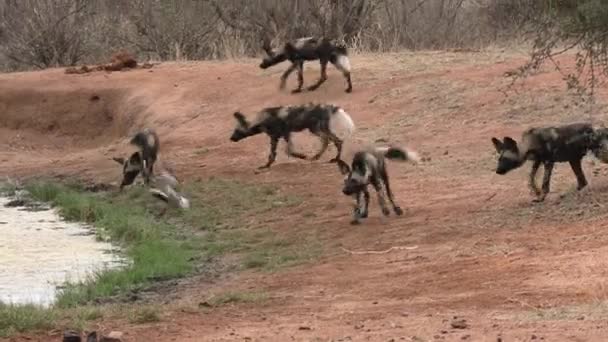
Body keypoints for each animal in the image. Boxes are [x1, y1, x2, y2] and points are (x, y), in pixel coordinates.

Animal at [230, 103, 358, 170]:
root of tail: (327, 107)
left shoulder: (278, 136)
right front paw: (266, 165)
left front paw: (303, 156)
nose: (231, 138)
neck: (262, 120)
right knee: (330, 141)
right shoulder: (282, 135)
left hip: (317, 129)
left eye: (237, 131)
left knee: (335, 141)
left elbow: (286, 151)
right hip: (316, 130)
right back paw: (318, 157)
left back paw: (334, 159)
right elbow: (276, 154)